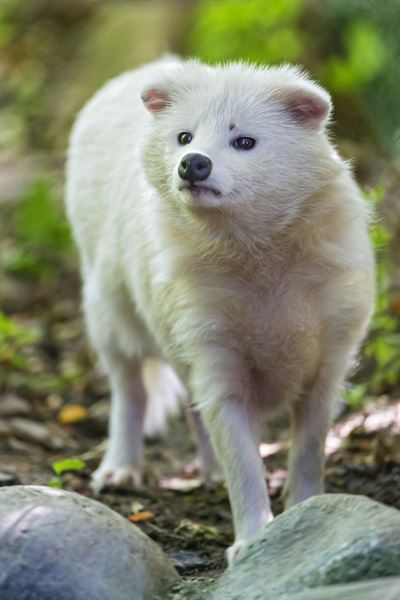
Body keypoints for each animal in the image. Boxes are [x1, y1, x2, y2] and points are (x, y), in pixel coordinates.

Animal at [65, 56, 376, 564]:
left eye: (244, 141)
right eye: (184, 136)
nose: (193, 163)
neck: (258, 262)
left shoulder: (328, 363)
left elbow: (308, 450)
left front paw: (307, 515)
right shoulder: (216, 357)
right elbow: (243, 462)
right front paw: (252, 542)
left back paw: (203, 473)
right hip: (108, 313)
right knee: (130, 391)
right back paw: (120, 470)